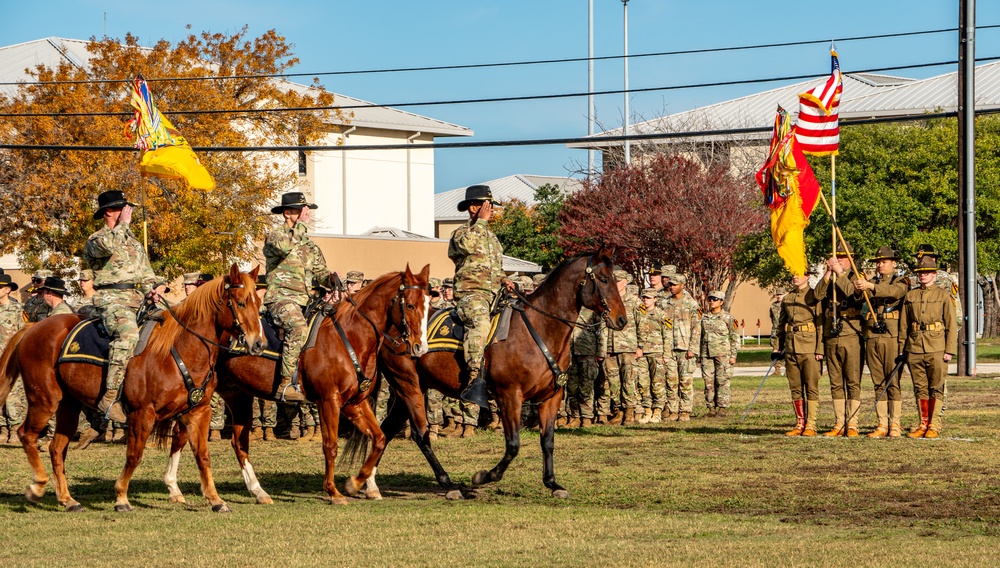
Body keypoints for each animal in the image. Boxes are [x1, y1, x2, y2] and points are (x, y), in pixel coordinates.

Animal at [0, 264, 264, 512]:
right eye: (240, 302)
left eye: (259, 302)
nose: (258, 343)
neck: (180, 350)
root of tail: (33, 328)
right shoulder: (142, 413)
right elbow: (134, 455)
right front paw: (121, 498)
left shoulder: (198, 412)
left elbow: (203, 456)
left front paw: (216, 500)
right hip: (45, 400)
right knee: (27, 435)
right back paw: (37, 485)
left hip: (68, 406)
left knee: (56, 448)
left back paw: (67, 499)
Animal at [160, 264, 430, 504]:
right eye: (410, 304)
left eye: (428, 304)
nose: (420, 347)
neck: (350, 337)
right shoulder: (329, 401)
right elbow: (330, 445)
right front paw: (333, 491)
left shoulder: (355, 404)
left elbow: (379, 439)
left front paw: (356, 483)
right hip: (202, 396)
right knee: (186, 435)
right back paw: (176, 488)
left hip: (235, 395)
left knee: (230, 441)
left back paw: (253, 491)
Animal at [376, 251, 624, 500]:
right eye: (603, 279)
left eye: (615, 279)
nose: (622, 319)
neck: (539, 329)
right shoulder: (510, 396)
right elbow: (513, 445)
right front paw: (485, 476)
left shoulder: (550, 398)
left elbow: (547, 441)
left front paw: (552, 483)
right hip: (409, 387)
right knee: (420, 435)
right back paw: (448, 483)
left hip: (407, 390)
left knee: (385, 431)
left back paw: (368, 483)